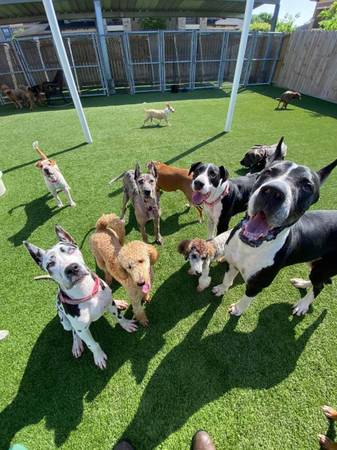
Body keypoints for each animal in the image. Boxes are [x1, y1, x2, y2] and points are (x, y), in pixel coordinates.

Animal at [23, 225, 137, 370]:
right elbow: (91, 344)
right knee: (73, 331)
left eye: (70, 250)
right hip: (65, 323)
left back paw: (119, 302)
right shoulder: (81, 329)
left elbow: (119, 317)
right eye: (50, 264)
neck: (85, 293)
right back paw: (76, 344)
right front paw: (98, 356)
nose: (72, 268)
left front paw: (126, 324)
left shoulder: (110, 305)